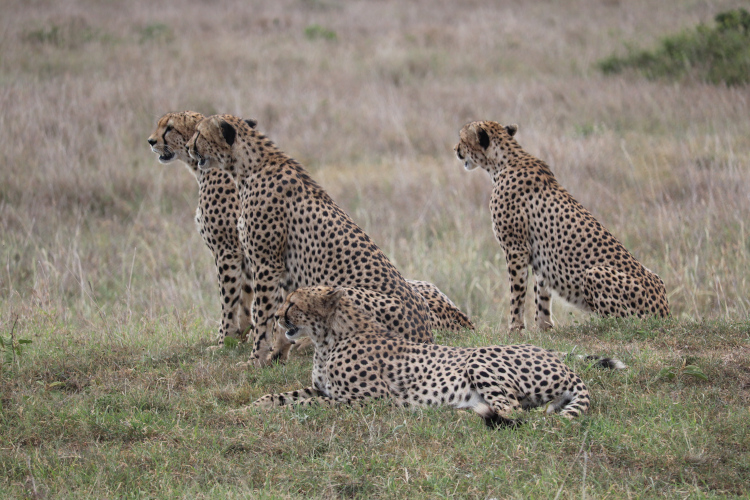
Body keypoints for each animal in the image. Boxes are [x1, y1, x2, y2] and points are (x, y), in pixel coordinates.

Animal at [149, 112, 472, 352]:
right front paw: (269, 349)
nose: (151, 141)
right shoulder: (265, 263)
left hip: (344, 293)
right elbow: (266, 310)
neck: (247, 167)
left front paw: (241, 349)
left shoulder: (255, 258)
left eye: (195, 134)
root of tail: (426, 332)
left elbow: (252, 309)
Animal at [256, 288, 596, 428]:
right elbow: (284, 395)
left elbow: (313, 404)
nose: (276, 317)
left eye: (292, 303)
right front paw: (256, 405)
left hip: (479, 359)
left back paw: (452, 414)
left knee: (511, 410)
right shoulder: (321, 388)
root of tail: (565, 365)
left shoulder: (370, 399)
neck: (328, 339)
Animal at [456, 121, 672, 332]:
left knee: (626, 321)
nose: (455, 149)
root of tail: (665, 312)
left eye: (462, 138)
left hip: (594, 273)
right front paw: (544, 329)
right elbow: (542, 294)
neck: (504, 162)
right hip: (656, 277)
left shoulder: (516, 248)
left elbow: (516, 294)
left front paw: (514, 330)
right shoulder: (538, 254)